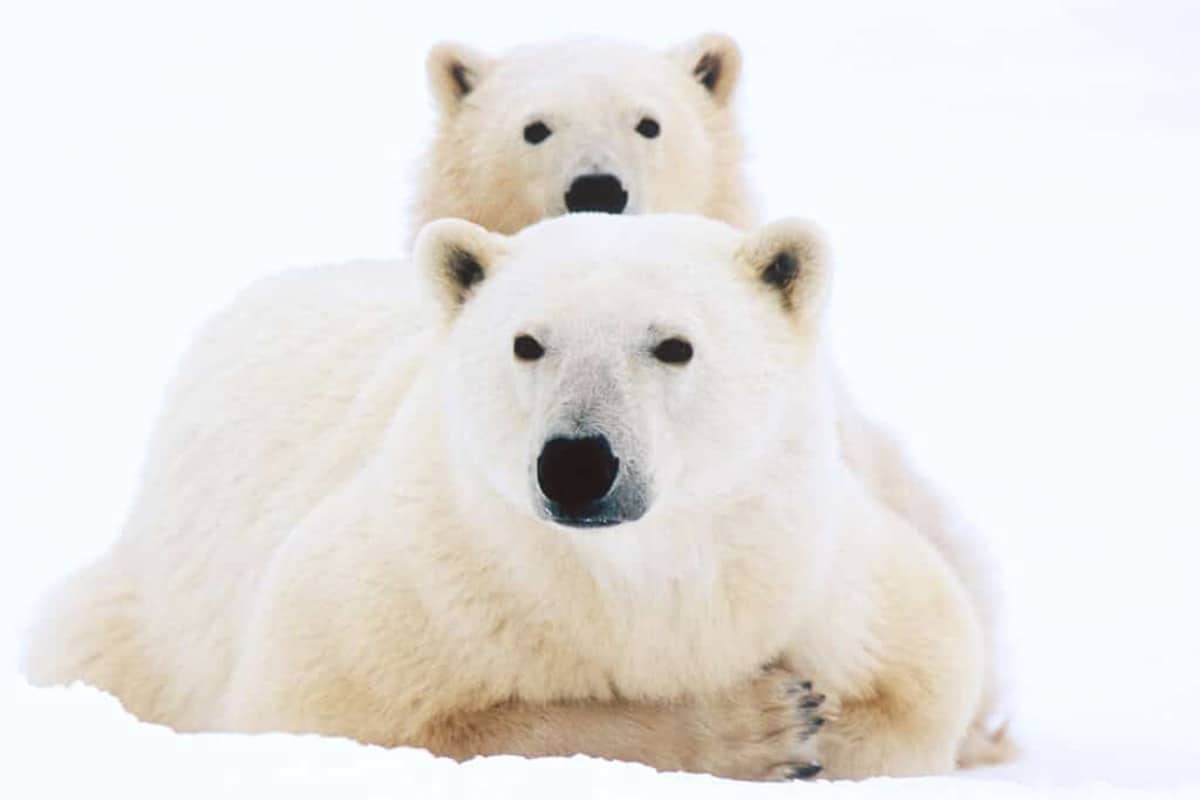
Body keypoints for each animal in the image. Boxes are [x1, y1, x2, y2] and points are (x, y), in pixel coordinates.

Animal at [25, 214, 984, 782]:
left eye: (673, 345)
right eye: (528, 342)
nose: (576, 463)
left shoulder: (824, 574)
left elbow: (923, 681)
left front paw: (816, 726)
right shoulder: (428, 577)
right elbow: (345, 713)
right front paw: (766, 727)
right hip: (149, 611)